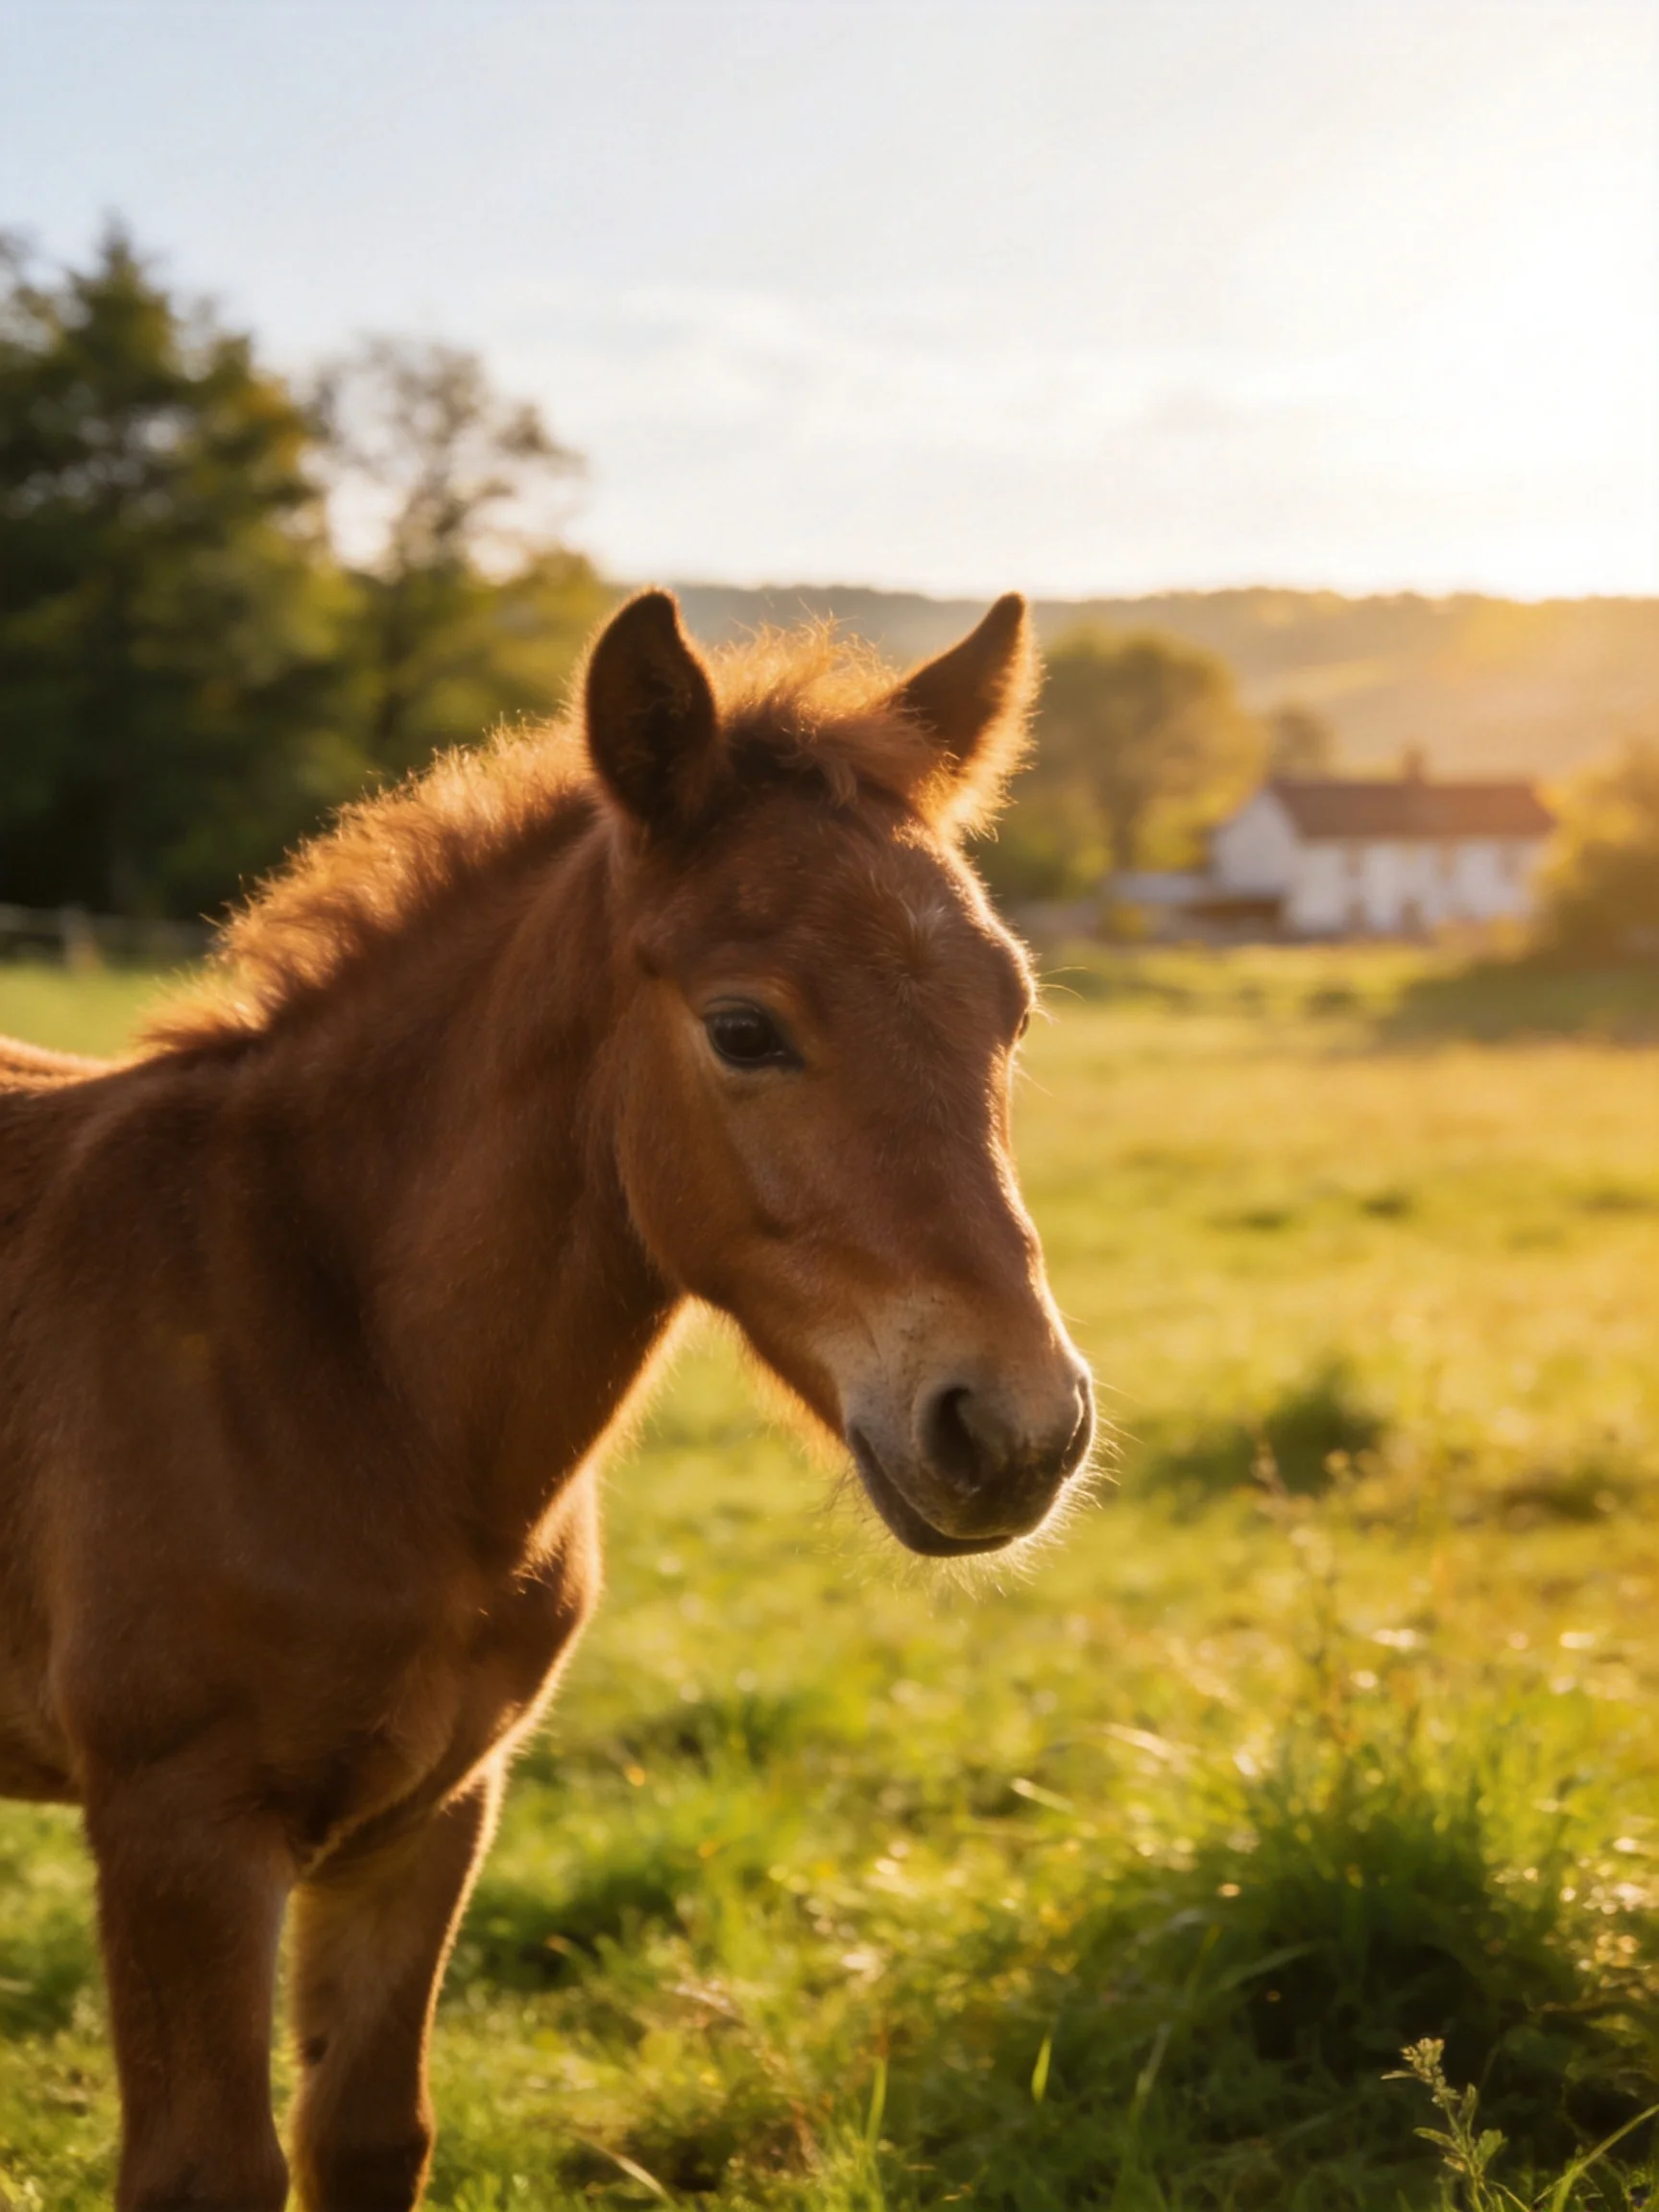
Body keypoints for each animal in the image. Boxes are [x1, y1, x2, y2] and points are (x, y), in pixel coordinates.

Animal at [0, 589, 1093, 2210]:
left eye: (1008, 1014)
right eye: (744, 1028)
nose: (1017, 1430)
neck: (336, 1371)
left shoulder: (433, 1812)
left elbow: (368, 2134)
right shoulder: (176, 1833)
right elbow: (209, 2171)